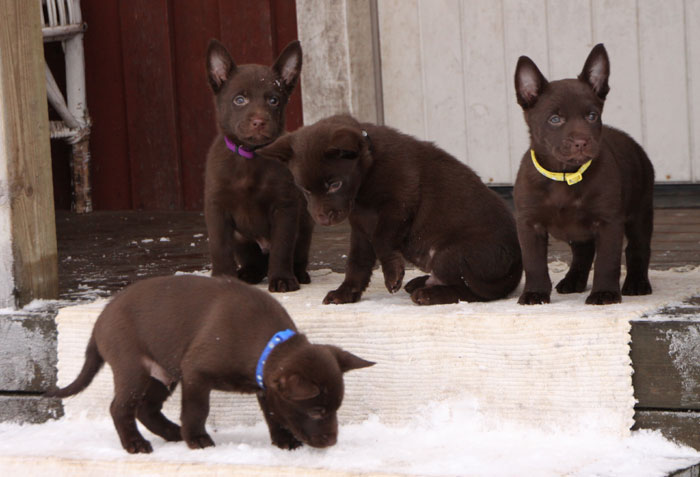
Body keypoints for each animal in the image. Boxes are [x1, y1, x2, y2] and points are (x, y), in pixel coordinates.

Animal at [46, 275, 374, 453]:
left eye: (336, 409)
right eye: (317, 411)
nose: (332, 442)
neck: (266, 344)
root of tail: (100, 319)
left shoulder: (265, 386)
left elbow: (274, 413)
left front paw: (283, 440)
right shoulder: (196, 374)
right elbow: (197, 410)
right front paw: (197, 439)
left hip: (162, 374)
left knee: (146, 408)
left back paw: (172, 433)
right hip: (133, 368)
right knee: (121, 408)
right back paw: (136, 444)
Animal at [204, 39, 314, 292]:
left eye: (273, 100)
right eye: (239, 100)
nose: (259, 122)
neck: (249, 156)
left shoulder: (285, 207)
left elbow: (282, 248)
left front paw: (282, 279)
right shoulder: (216, 208)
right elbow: (220, 248)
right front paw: (223, 278)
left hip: (304, 226)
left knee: (295, 255)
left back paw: (299, 273)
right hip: (242, 239)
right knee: (253, 261)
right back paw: (248, 273)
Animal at [262, 114, 522, 305]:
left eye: (335, 184)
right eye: (305, 189)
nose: (322, 220)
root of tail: (515, 271)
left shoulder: (399, 206)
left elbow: (382, 240)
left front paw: (392, 274)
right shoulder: (360, 228)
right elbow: (357, 263)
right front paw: (346, 292)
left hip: (452, 254)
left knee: (471, 292)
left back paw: (429, 294)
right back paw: (421, 283)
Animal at [513, 43, 654, 305]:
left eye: (592, 116)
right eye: (555, 119)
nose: (582, 142)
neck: (564, 175)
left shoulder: (609, 221)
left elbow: (607, 261)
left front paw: (604, 293)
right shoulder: (529, 224)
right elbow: (534, 263)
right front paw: (535, 293)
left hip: (640, 211)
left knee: (637, 248)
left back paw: (637, 282)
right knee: (583, 252)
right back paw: (573, 281)